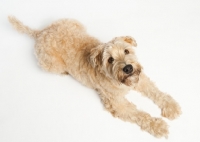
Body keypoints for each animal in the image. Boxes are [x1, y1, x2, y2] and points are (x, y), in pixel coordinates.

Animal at [8, 16, 181, 138]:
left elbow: (157, 92)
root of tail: (41, 32)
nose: (128, 68)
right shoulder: (118, 104)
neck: (120, 82)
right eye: (110, 59)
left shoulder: (140, 79)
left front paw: (171, 107)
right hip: (51, 65)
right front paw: (158, 126)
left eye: (126, 51)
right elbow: (140, 115)